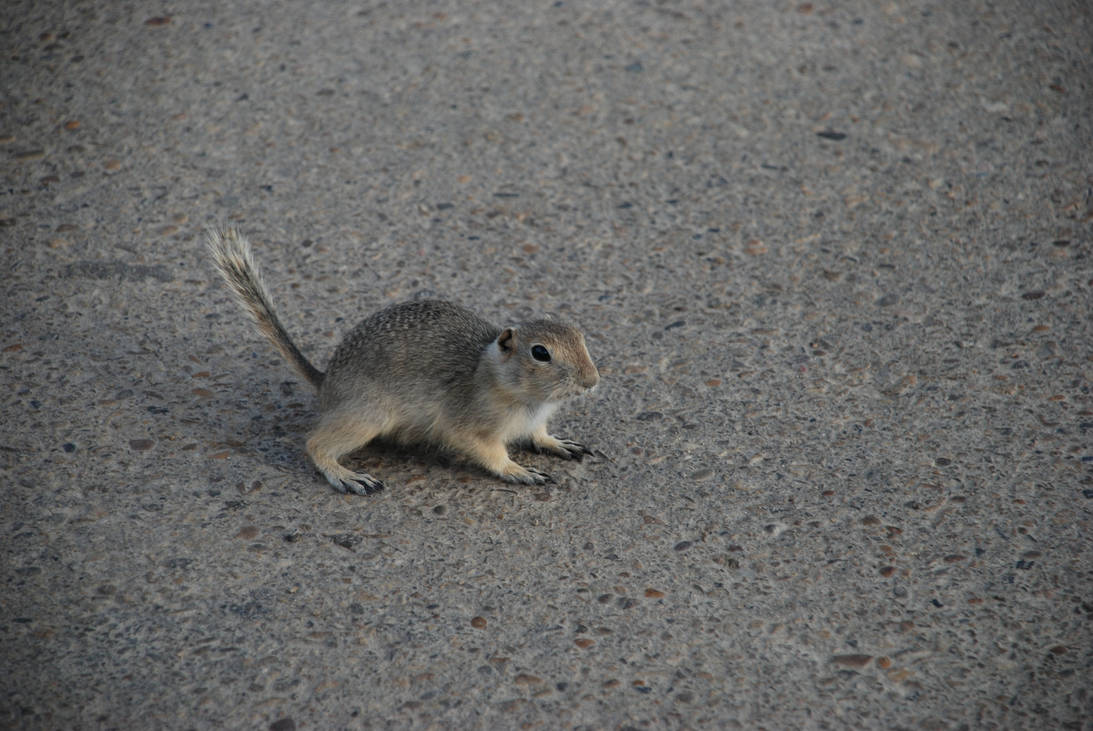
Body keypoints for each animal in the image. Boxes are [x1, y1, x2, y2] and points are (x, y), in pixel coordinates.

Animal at [207, 229, 599, 495]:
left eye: (581, 336)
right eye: (540, 353)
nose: (591, 381)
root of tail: (326, 381)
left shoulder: (534, 421)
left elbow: (539, 435)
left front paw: (558, 444)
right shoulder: (468, 426)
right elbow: (489, 453)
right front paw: (518, 470)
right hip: (368, 414)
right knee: (314, 444)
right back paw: (348, 476)